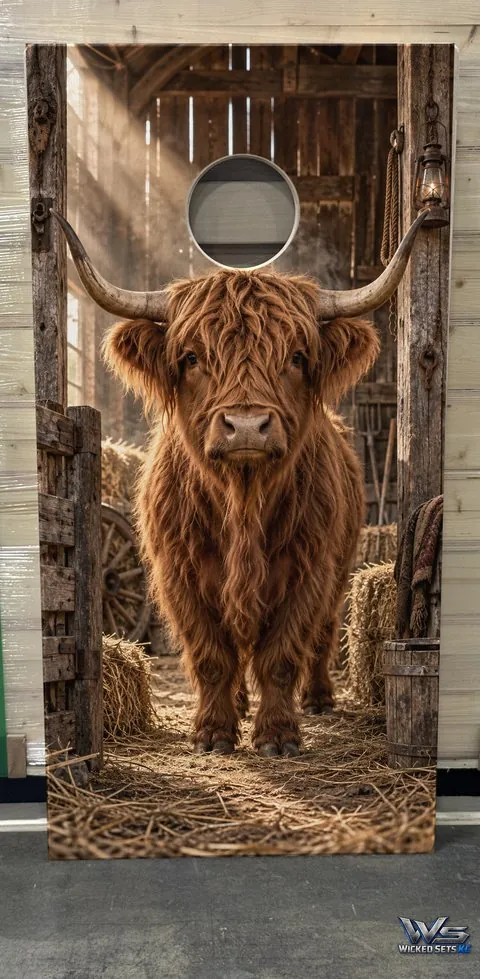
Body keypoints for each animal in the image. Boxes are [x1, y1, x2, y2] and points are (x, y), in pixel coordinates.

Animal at [53, 209, 428, 758]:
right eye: (191, 358)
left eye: (296, 357)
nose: (247, 426)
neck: (242, 502)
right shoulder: (179, 572)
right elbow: (212, 656)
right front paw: (213, 732)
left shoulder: (308, 570)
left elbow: (281, 655)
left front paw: (277, 735)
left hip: (340, 571)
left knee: (323, 636)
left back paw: (317, 698)